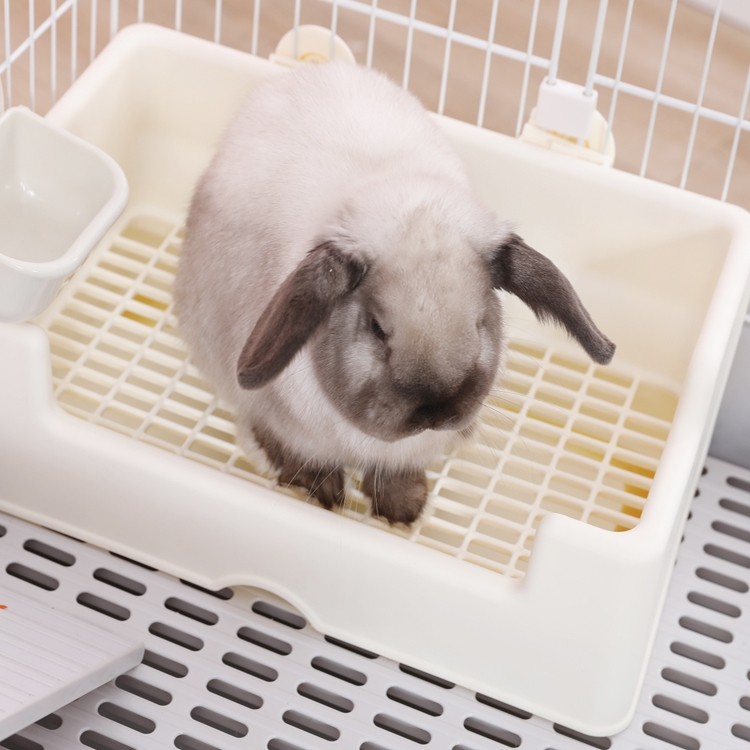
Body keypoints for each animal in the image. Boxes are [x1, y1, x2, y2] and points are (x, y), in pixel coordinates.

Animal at [174, 61, 615, 526]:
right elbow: (287, 448)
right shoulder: (277, 418)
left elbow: (395, 474)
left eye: (480, 322)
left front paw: (404, 509)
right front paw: (324, 493)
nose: (437, 411)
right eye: (376, 328)